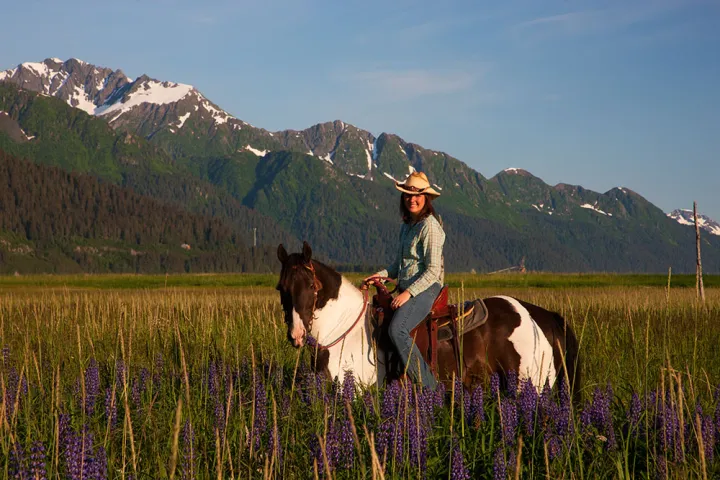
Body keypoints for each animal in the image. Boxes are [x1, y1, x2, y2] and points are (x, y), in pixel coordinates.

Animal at [276, 242, 581, 398]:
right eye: (282, 288)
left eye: (311, 286)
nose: (296, 335)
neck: (343, 333)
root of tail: (542, 316)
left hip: (529, 387)